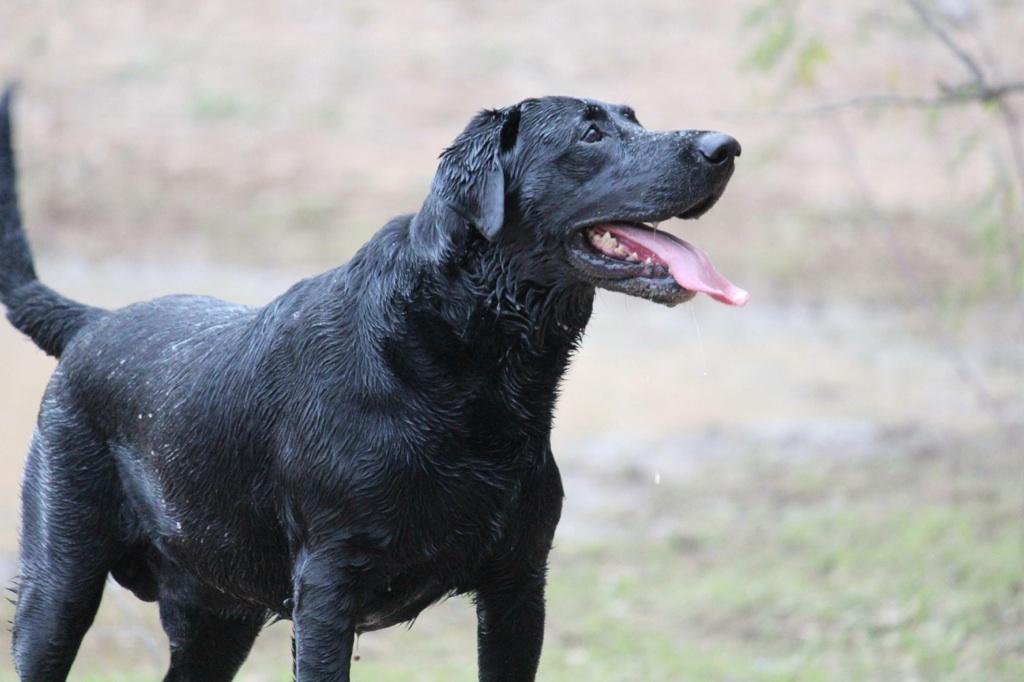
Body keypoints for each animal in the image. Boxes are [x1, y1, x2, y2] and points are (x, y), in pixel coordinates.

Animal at [4, 86, 749, 679]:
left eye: (634, 117)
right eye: (590, 134)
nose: (727, 146)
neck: (470, 362)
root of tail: (94, 322)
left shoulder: (518, 585)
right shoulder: (328, 590)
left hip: (219, 615)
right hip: (59, 583)